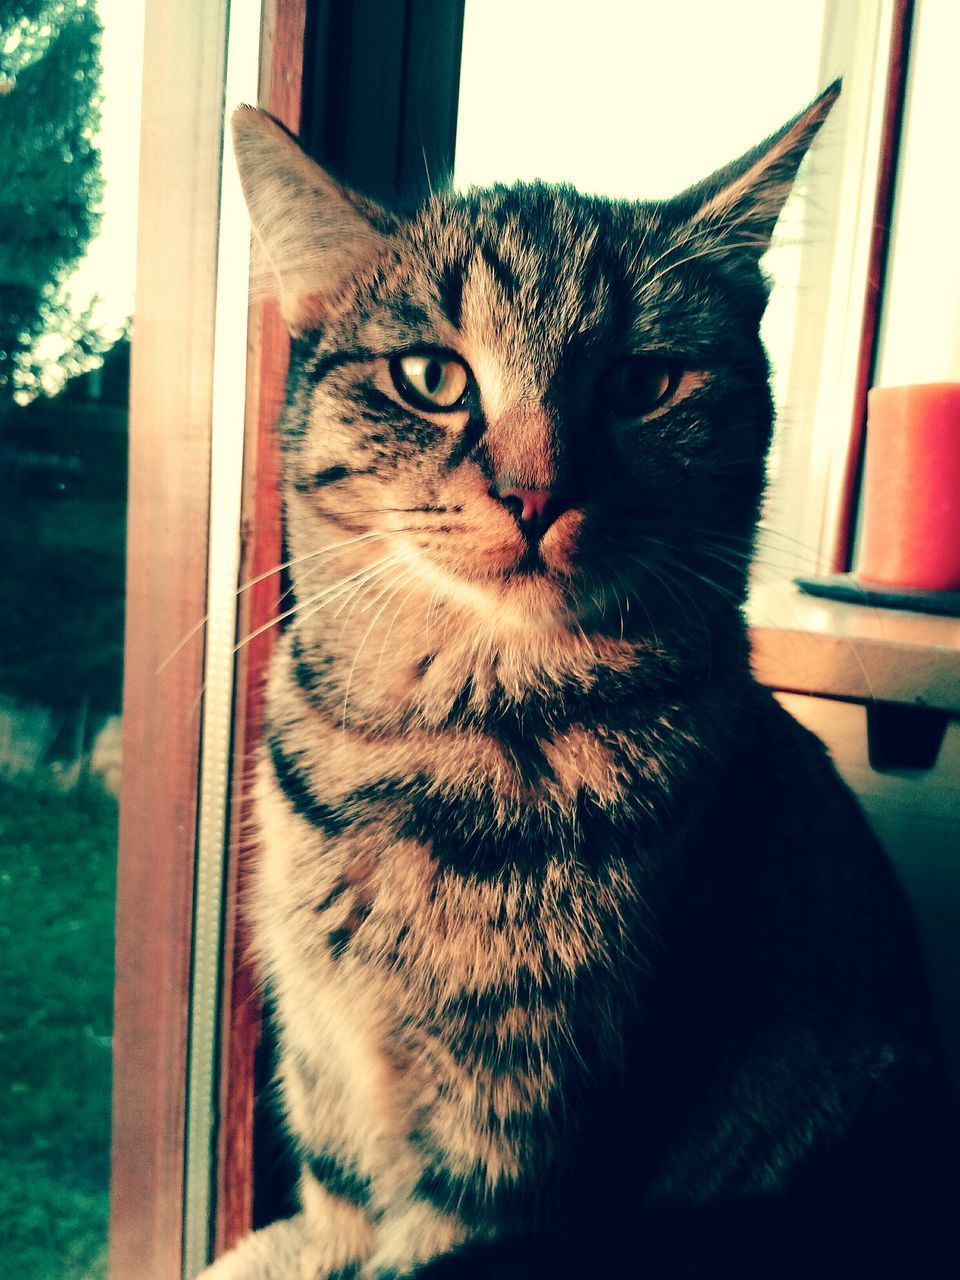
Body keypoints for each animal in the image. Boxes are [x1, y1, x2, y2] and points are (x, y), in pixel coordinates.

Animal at [200, 85, 957, 1274]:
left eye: (645, 382)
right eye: (432, 376)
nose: (535, 490)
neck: (431, 750)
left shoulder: (522, 1128)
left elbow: (431, 1234)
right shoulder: (325, 1066)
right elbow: (335, 1205)